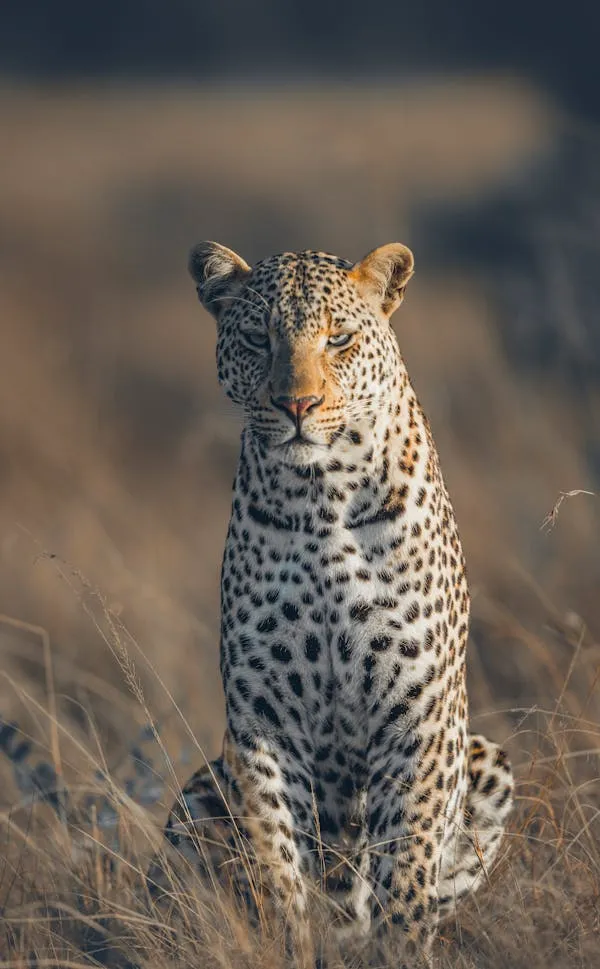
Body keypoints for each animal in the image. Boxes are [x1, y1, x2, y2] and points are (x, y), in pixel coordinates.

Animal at [150, 241, 514, 967]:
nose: (298, 403)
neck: (321, 498)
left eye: (339, 338)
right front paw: (284, 943)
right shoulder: (263, 719)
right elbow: (274, 863)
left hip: (485, 761)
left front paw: (402, 947)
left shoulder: (417, 714)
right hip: (198, 794)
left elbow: (407, 868)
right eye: (257, 338)